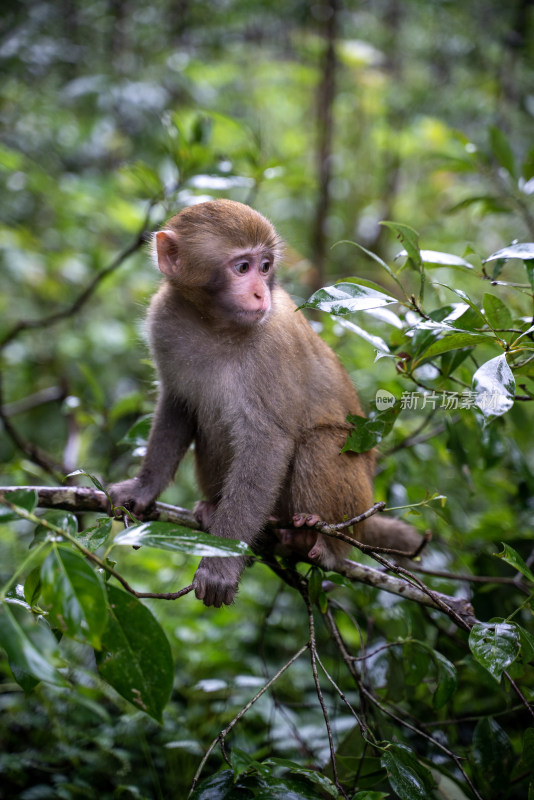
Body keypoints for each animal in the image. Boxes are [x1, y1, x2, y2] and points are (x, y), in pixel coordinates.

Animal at [109, 198, 422, 608]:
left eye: (265, 266)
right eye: (242, 268)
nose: (261, 294)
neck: (213, 322)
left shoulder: (274, 343)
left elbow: (267, 443)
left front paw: (220, 566)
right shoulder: (164, 317)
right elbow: (177, 406)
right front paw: (143, 488)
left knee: (319, 443)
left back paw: (319, 543)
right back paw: (215, 509)